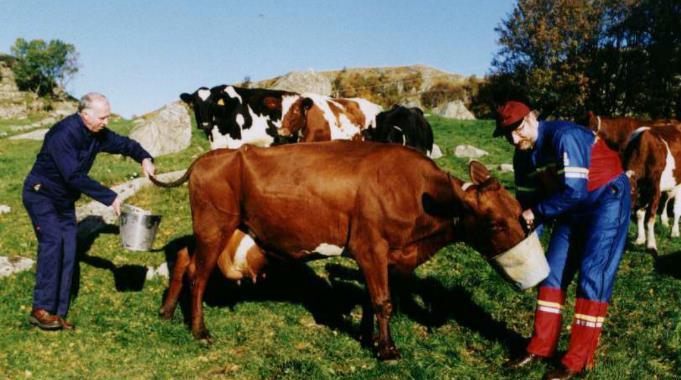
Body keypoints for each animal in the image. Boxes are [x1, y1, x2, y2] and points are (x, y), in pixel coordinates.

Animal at [151, 141, 528, 360]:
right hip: (215, 227)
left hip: (212, 230)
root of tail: (208, 157)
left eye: (517, 208)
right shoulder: (370, 246)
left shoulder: (383, 256)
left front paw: (367, 337)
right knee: (199, 275)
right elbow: (383, 301)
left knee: (183, 257)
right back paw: (200, 331)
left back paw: (167, 312)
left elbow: (370, 299)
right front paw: (388, 350)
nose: (529, 235)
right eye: (495, 223)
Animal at [624, 123, 681, 254]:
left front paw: (651, 245)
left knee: (676, 209)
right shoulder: (643, 190)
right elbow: (639, 214)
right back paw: (664, 221)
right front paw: (640, 239)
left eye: (630, 192)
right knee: (666, 200)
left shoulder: (654, 189)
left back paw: (675, 231)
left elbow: (650, 217)